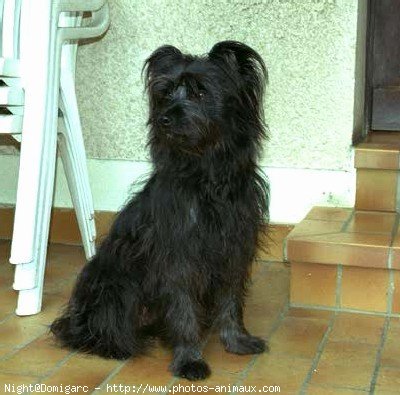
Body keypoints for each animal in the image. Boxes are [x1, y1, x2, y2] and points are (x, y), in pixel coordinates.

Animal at [50, 41, 268, 380]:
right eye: (165, 93)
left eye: (200, 92)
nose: (164, 119)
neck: (205, 176)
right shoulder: (178, 257)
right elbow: (183, 310)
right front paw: (189, 358)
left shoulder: (233, 249)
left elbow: (231, 301)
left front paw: (237, 340)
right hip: (117, 285)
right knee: (100, 329)